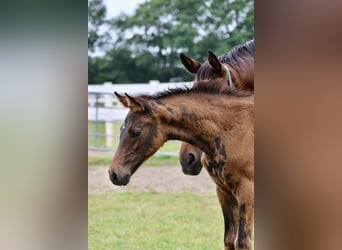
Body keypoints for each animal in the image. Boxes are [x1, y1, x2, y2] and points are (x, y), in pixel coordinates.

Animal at [109, 82, 254, 250]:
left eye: (136, 132)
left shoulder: (247, 190)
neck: (233, 129)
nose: (114, 174)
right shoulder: (224, 191)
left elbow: (242, 242)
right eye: (121, 129)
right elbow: (229, 239)